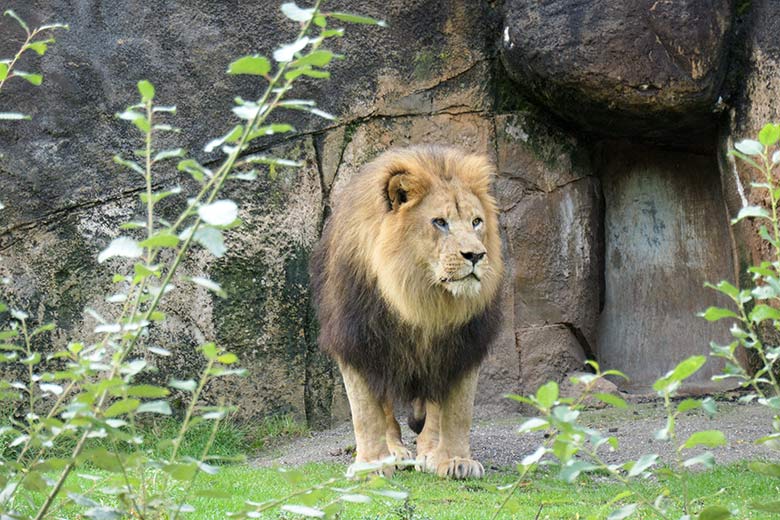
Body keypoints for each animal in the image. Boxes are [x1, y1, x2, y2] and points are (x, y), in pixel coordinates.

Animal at [310, 144, 506, 478]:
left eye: (476, 222)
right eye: (440, 222)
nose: (476, 255)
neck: (421, 297)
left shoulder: (466, 344)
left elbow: (458, 410)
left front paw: (455, 460)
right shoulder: (355, 339)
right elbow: (365, 412)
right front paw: (371, 466)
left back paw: (429, 451)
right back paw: (394, 452)